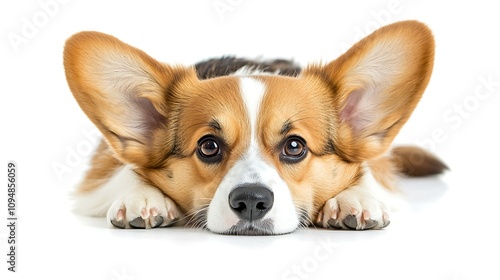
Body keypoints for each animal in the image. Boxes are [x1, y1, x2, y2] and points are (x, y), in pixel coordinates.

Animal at [64, 20, 448, 234]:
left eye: (295, 146)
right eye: (208, 146)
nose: (251, 202)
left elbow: (366, 173)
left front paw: (354, 200)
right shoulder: (102, 170)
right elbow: (124, 171)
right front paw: (142, 197)